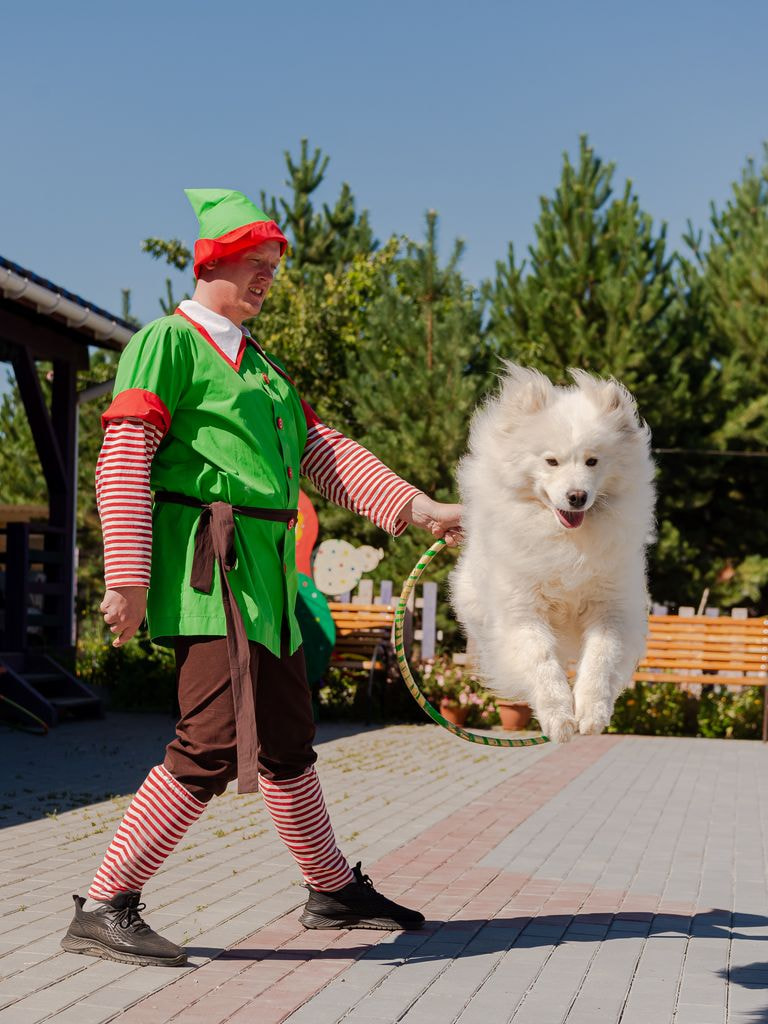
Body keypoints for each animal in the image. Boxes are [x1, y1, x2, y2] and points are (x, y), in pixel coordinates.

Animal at [454, 364, 659, 741]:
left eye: (593, 461)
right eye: (551, 461)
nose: (577, 496)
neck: (566, 543)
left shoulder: (610, 608)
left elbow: (599, 661)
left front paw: (592, 714)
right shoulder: (524, 610)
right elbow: (542, 664)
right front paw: (559, 719)